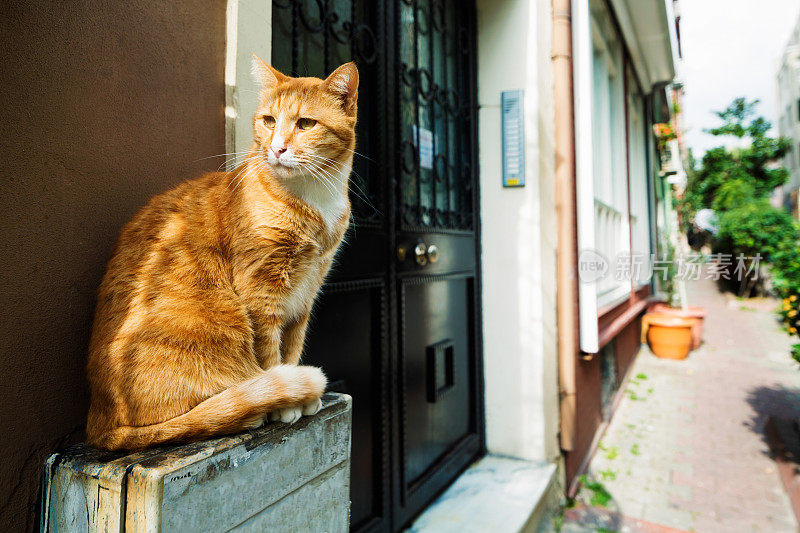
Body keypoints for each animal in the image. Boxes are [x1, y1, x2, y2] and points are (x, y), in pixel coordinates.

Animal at [86, 57, 358, 448]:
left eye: (305, 124)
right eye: (269, 121)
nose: (277, 149)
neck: (313, 196)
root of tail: (100, 428)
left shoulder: (306, 291)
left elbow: (292, 344)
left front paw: (302, 396)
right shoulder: (261, 290)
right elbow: (270, 351)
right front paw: (286, 402)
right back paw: (253, 408)